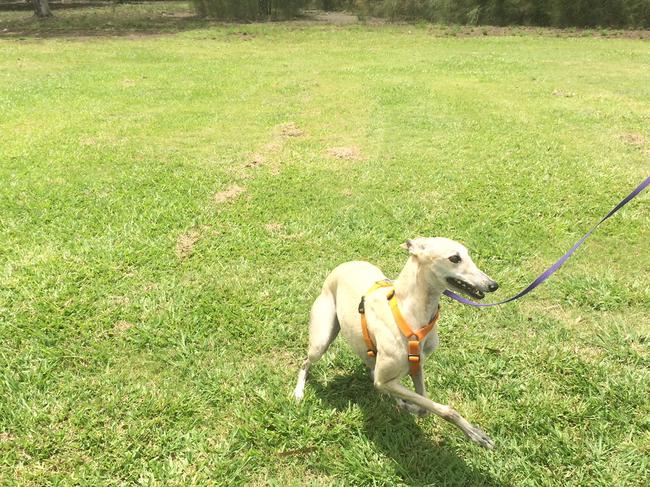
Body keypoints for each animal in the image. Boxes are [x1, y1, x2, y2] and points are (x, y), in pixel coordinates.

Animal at [292, 237, 498, 450]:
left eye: (468, 254)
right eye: (454, 258)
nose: (493, 285)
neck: (410, 315)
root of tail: (343, 265)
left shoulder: (416, 367)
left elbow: (424, 407)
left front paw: (408, 406)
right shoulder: (384, 380)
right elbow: (446, 410)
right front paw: (476, 434)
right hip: (321, 341)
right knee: (305, 362)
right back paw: (299, 391)